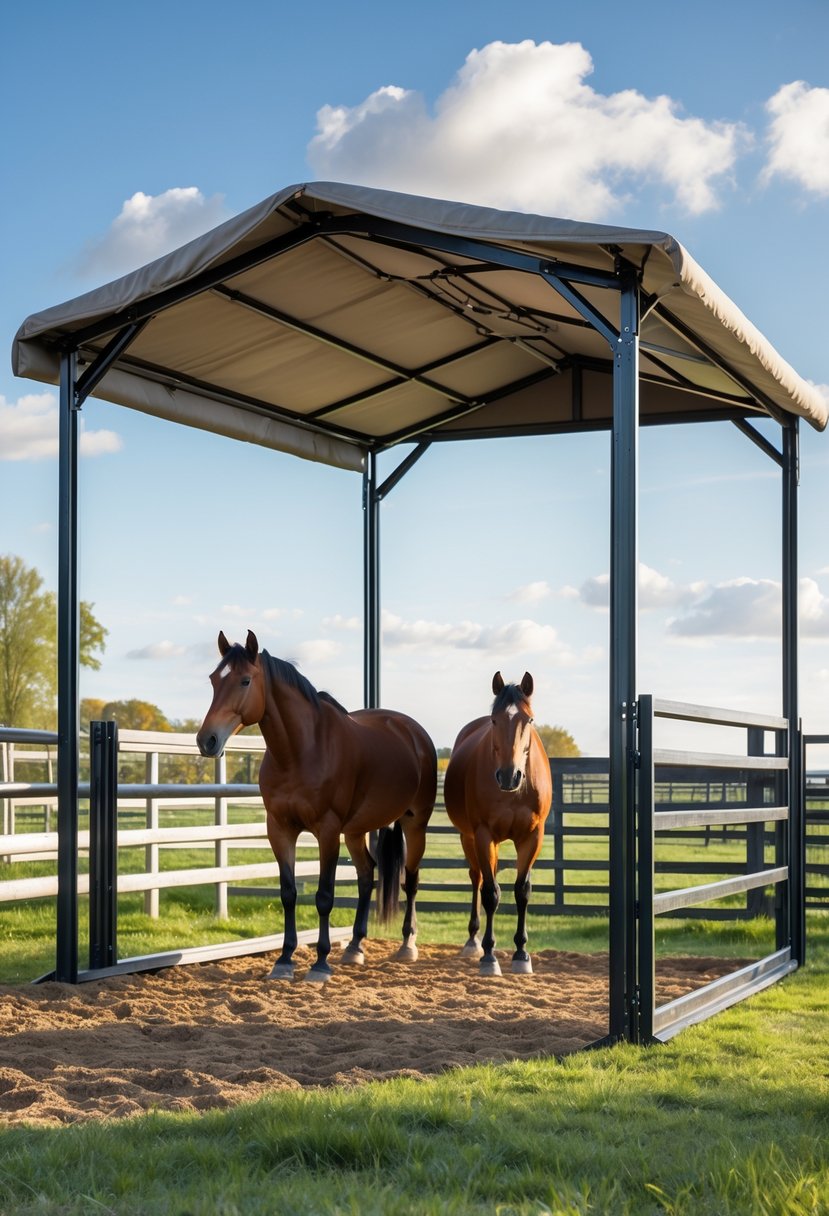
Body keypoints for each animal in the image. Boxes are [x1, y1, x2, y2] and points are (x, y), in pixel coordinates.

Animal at [196, 631, 437, 982]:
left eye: (244, 681)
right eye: (214, 680)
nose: (207, 740)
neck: (301, 751)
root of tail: (413, 732)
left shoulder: (327, 831)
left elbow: (324, 896)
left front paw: (321, 963)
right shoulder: (279, 829)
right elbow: (288, 893)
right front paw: (284, 959)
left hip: (414, 824)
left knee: (411, 880)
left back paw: (407, 945)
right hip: (357, 831)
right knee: (367, 875)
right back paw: (354, 947)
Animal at [443, 671, 553, 976]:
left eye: (529, 719)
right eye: (494, 720)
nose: (508, 775)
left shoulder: (532, 837)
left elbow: (522, 891)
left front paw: (521, 954)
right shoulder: (483, 835)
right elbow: (491, 893)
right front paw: (489, 957)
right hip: (469, 838)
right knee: (478, 879)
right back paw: (473, 941)